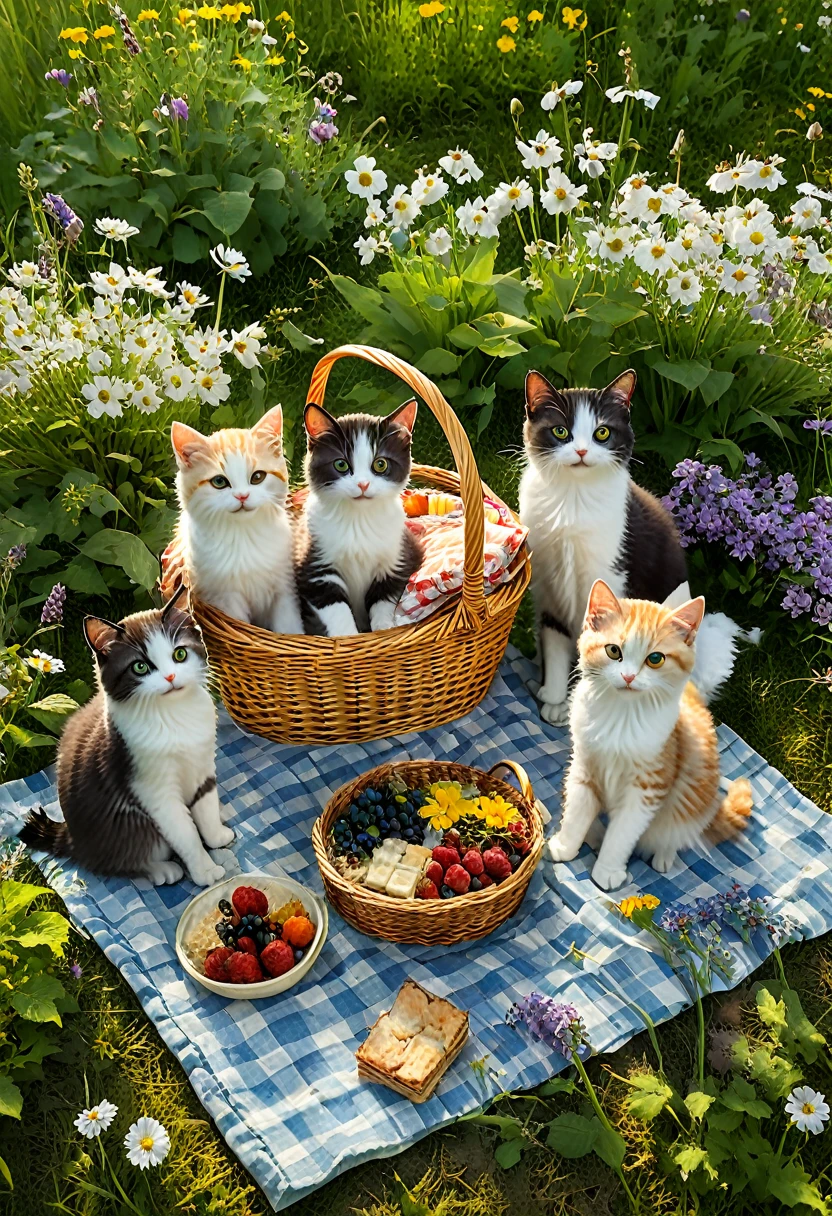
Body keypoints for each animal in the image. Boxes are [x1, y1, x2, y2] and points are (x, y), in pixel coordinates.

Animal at [20, 588, 233, 885]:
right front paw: (205, 870)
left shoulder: (202, 764)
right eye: (140, 667)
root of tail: (73, 839)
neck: (174, 715)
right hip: (125, 828)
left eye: (180, 654)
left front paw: (216, 835)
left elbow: (206, 806)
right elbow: (185, 834)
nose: (170, 677)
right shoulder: (154, 792)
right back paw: (162, 870)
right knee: (118, 861)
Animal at [170, 408, 304, 637]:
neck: (244, 535)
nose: (242, 496)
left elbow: (288, 627)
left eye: (258, 477)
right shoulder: (226, 598)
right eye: (219, 482)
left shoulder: (285, 588)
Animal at [294, 403, 423, 642]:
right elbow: (336, 609)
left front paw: (384, 629)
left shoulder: (397, 559)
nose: (363, 484)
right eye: (340, 464)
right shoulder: (315, 566)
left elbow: (384, 599)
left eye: (380, 464)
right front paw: (348, 639)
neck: (358, 520)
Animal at [515, 369, 759, 724]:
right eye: (560, 431)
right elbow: (555, 637)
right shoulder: (550, 585)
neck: (572, 501)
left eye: (602, 432)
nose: (582, 452)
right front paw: (556, 697)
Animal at [549, 581, 749, 894]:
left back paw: (663, 855)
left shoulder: (647, 789)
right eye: (613, 650)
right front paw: (566, 845)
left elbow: (622, 833)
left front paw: (607, 871)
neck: (621, 715)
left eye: (655, 659)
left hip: (696, 794)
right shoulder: (584, 766)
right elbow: (577, 810)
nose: (629, 677)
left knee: (678, 830)